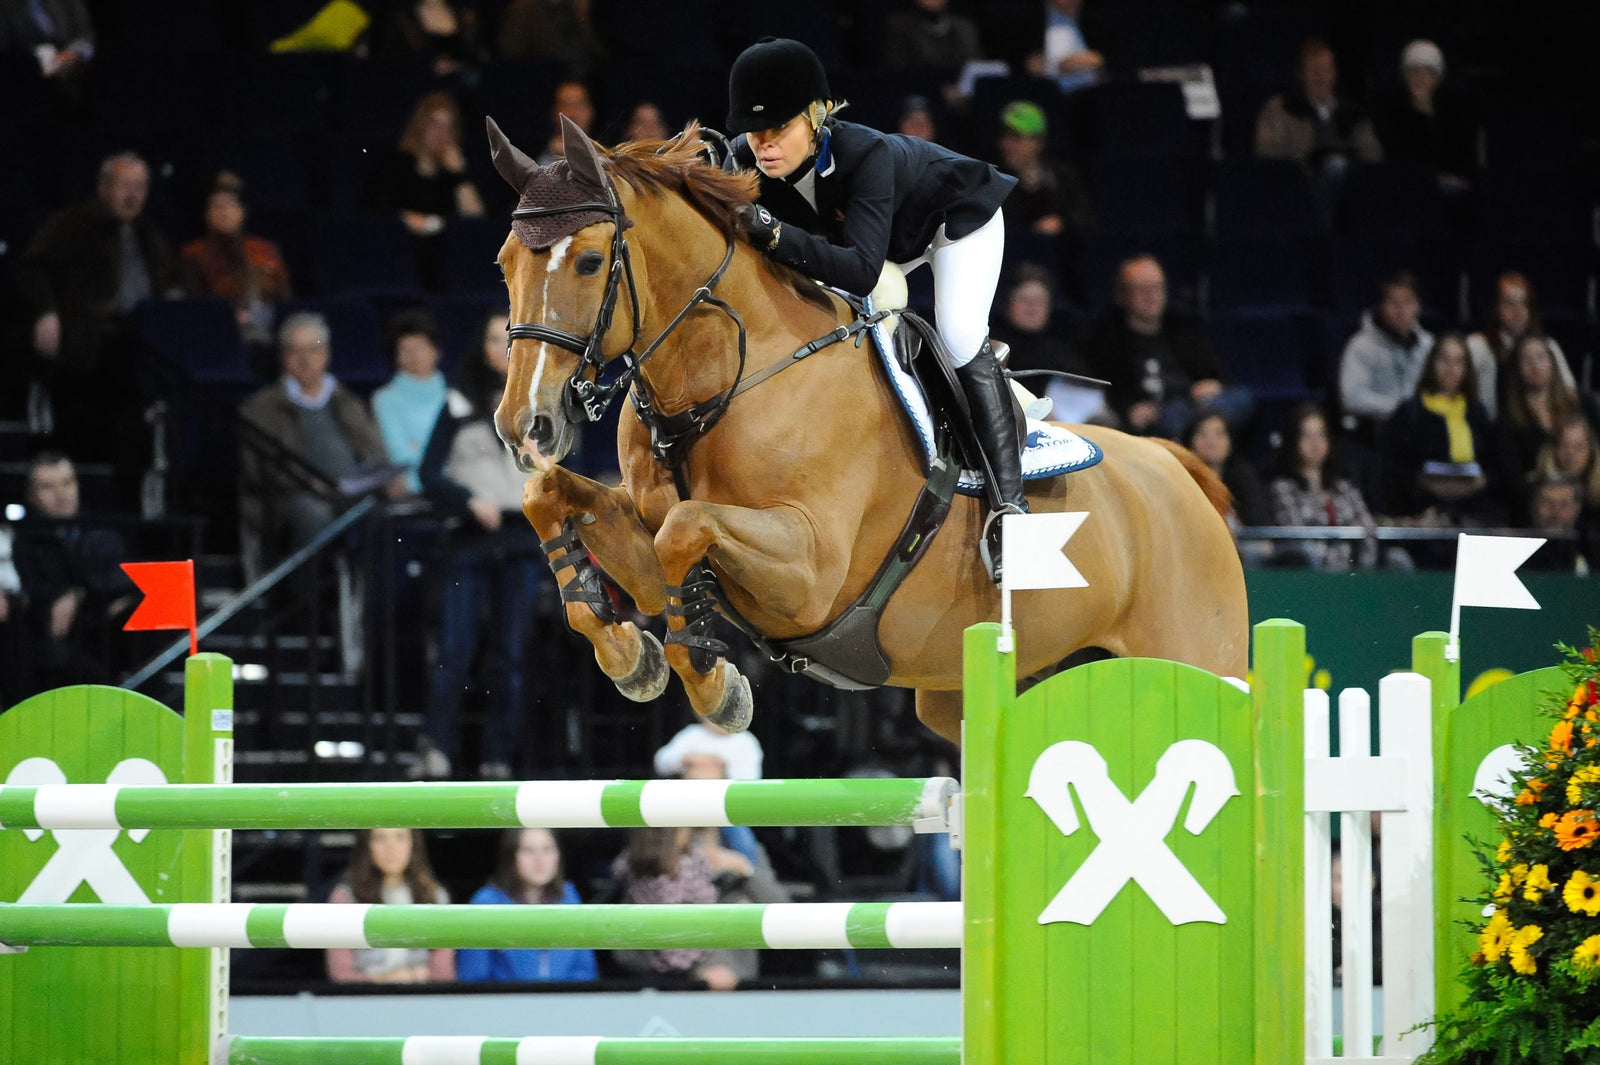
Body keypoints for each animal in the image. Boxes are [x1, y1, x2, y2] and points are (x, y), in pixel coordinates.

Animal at [486, 115, 1248, 741]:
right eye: (504, 264)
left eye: (590, 261)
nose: (527, 424)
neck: (727, 381)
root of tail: (1175, 469)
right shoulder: (657, 550)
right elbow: (552, 499)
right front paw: (630, 656)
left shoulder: (811, 571)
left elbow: (686, 527)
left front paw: (715, 687)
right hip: (971, 692)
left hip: (1194, 656)